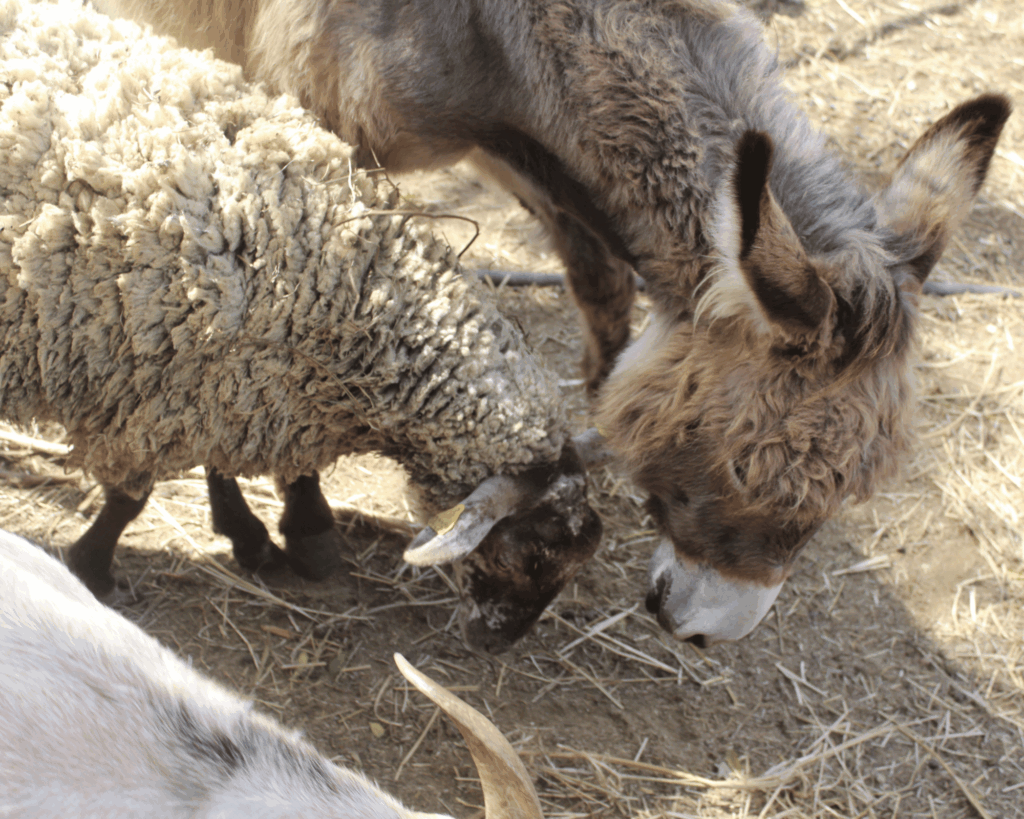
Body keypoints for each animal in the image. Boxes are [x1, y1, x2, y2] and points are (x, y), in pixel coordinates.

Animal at [0, 0, 601, 653]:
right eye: (530, 551)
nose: (496, 644)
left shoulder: (225, 387)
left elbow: (216, 466)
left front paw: (255, 539)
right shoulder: (149, 401)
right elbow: (130, 500)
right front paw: (92, 569)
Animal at [95, 0, 1010, 646]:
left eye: (849, 492)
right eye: (744, 470)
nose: (706, 633)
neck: (489, 26)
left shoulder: (527, 145)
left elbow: (601, 283)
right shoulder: (308, 123)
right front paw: (295, 520)